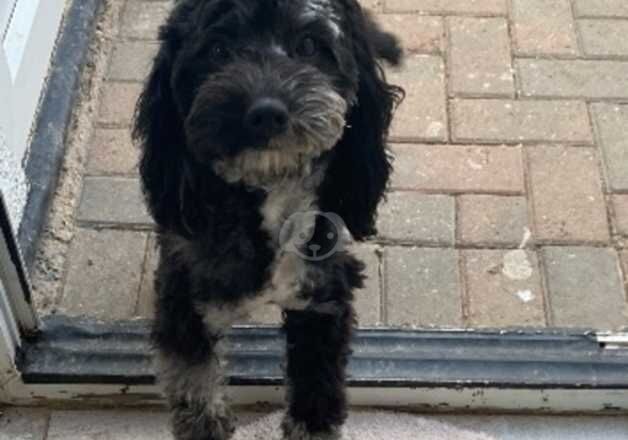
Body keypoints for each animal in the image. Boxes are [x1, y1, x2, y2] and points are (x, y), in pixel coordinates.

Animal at [132, 1, 402, 438]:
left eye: (309, 44)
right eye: (218, 50)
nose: (266, 113)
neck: (267, 196)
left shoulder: (323, 297)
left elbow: (317, 390)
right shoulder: (183, 297)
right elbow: (195, 383)